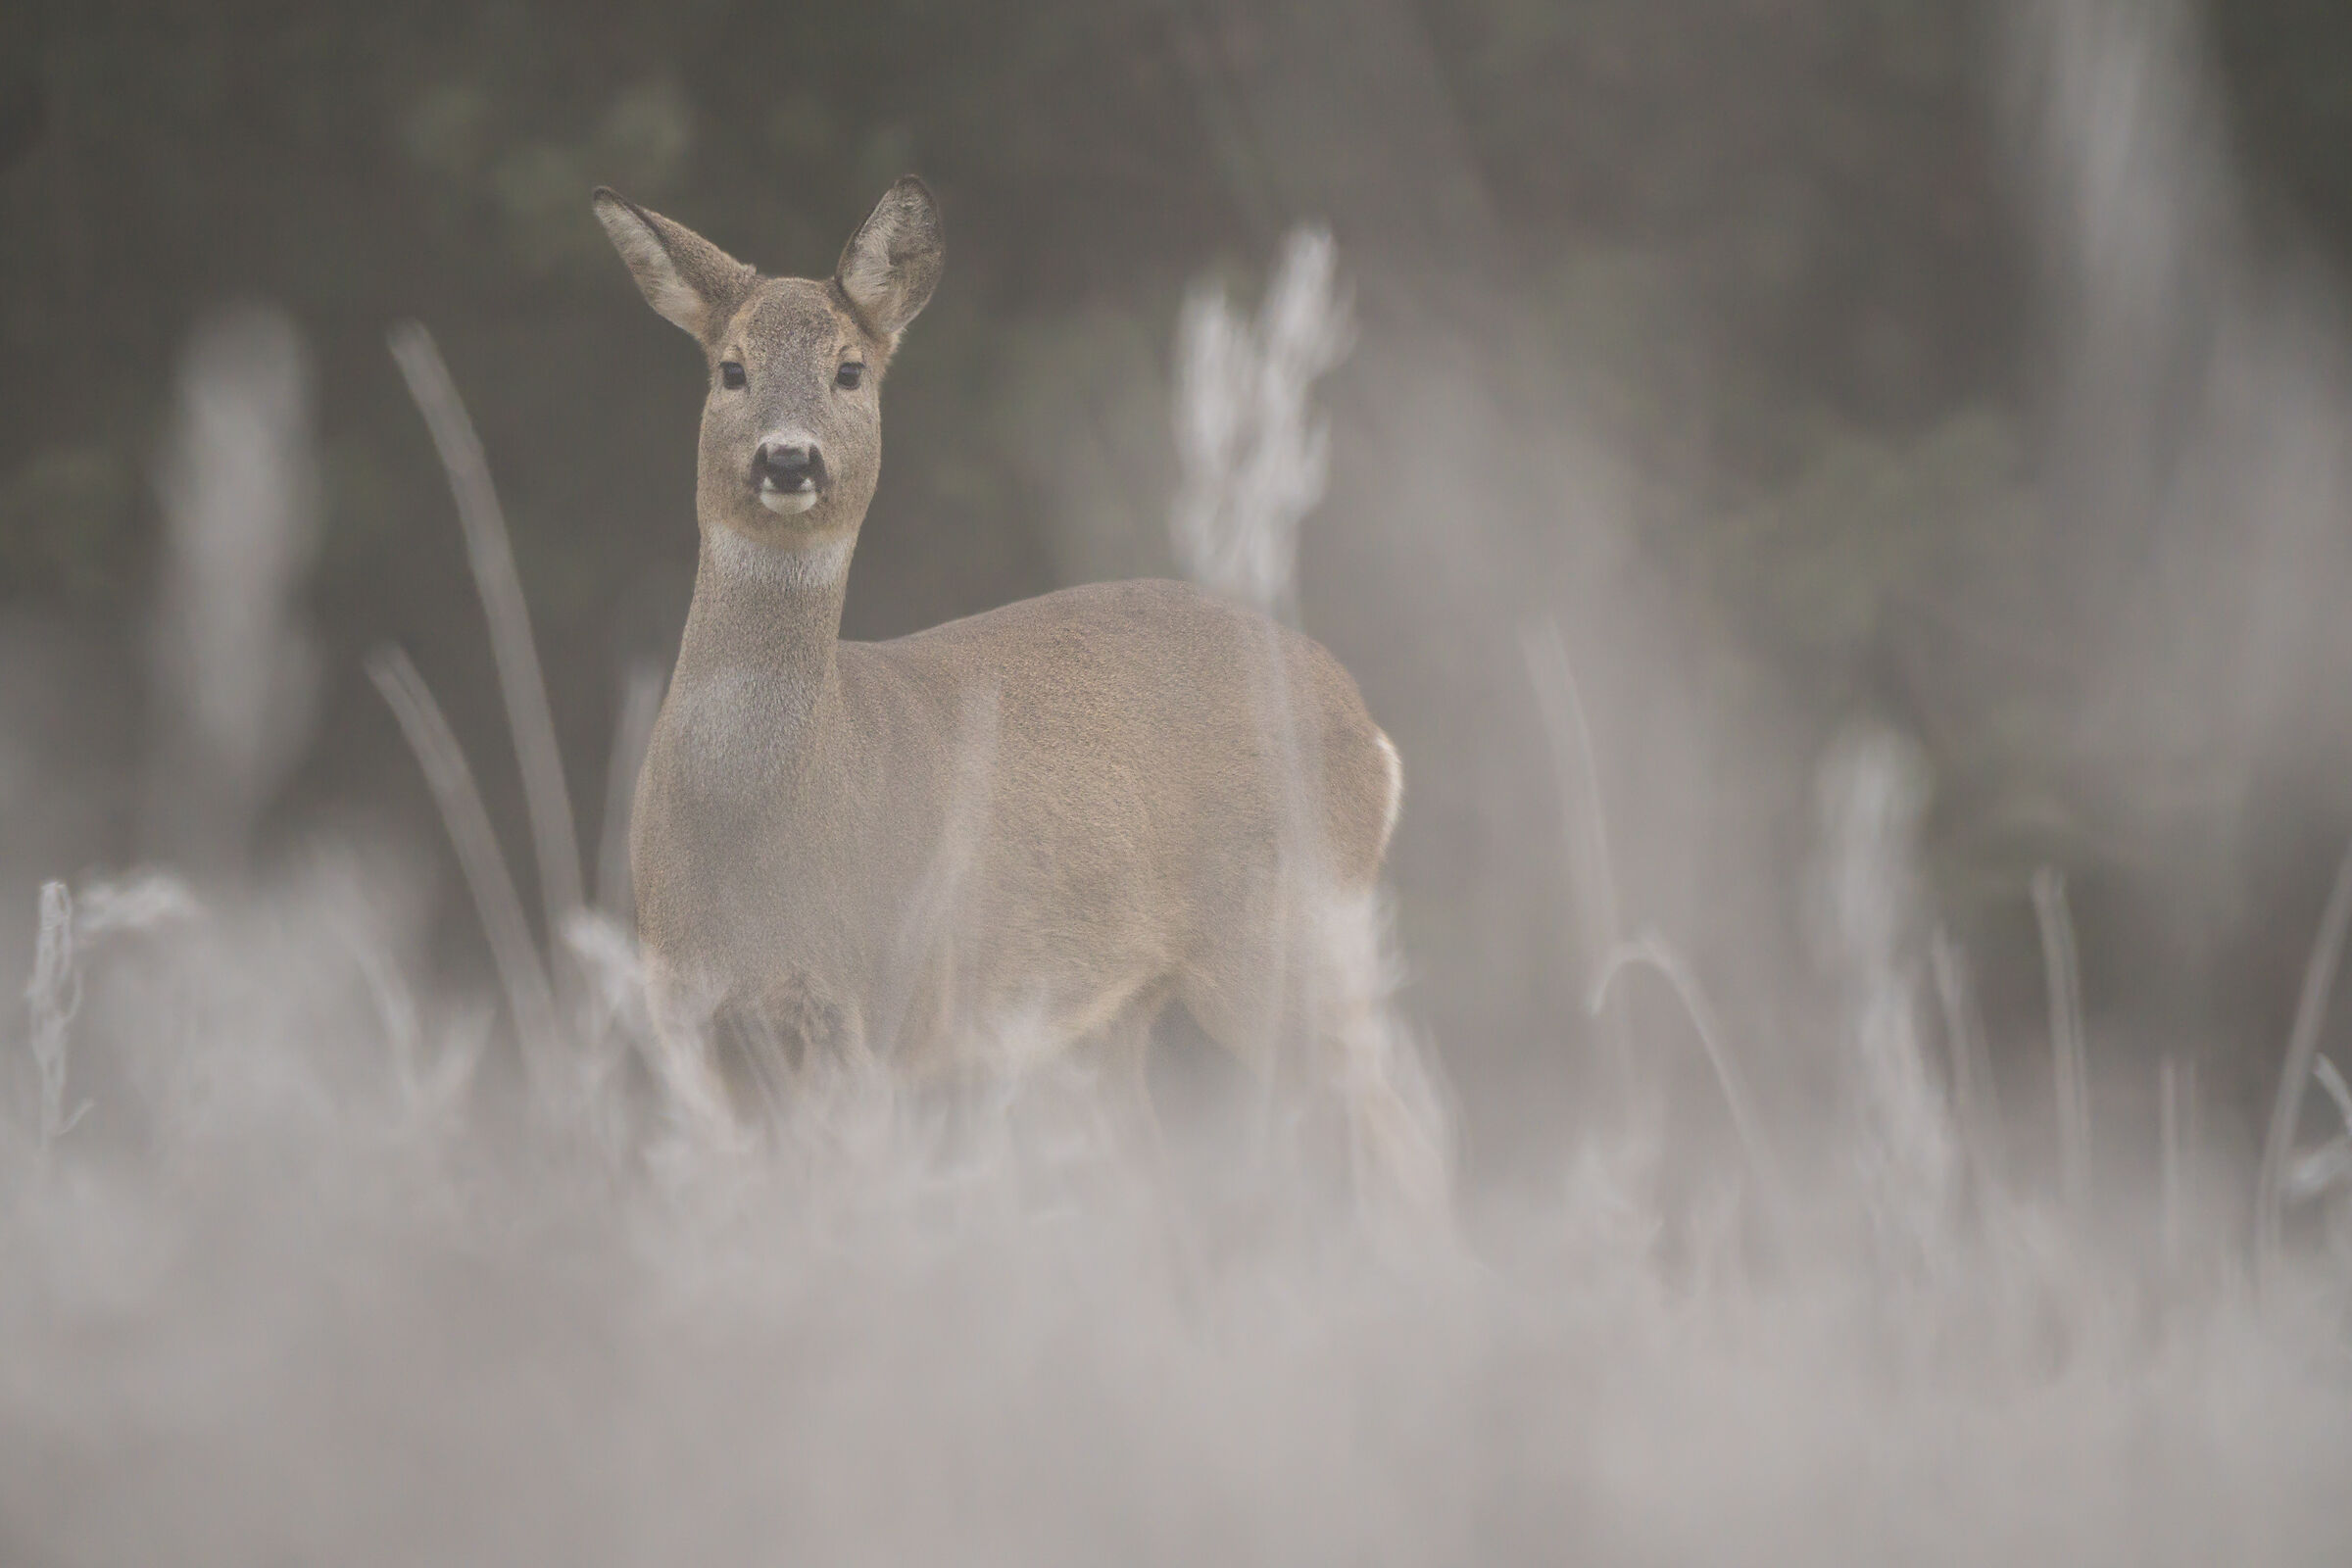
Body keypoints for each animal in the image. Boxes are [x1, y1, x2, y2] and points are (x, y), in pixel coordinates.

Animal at [594, 176, 1449, 1221]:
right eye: (729, 369)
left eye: (849, 371)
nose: (787, 461)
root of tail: (1371, 732)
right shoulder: (690, 1015)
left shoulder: (879, 1001)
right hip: (1114, 1010)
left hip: (1287, 929)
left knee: (1404, 1140)